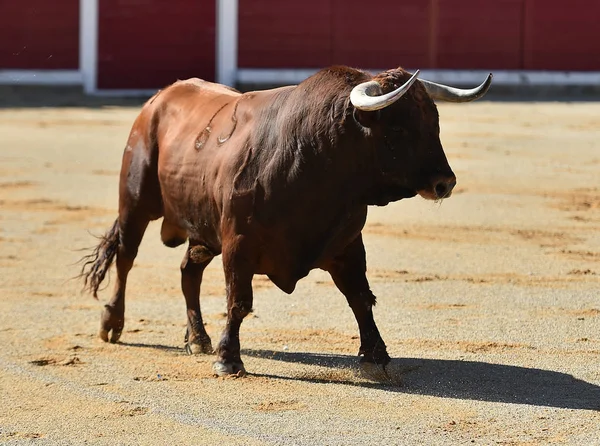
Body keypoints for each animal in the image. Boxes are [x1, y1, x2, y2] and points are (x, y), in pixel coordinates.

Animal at [79, 66, 492, 376]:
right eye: (398, 128)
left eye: (434, 121)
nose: (444, 182)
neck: (313, 160)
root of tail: (159, 99)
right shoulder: (238, 244)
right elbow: (238, 301)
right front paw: (229, 360)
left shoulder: (347, 244)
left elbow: (360, 297)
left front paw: (376, 356)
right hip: (135, 203)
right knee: (126, 258)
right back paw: (112, 324)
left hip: (202, 229)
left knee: (188, 271)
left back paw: (197, 338)